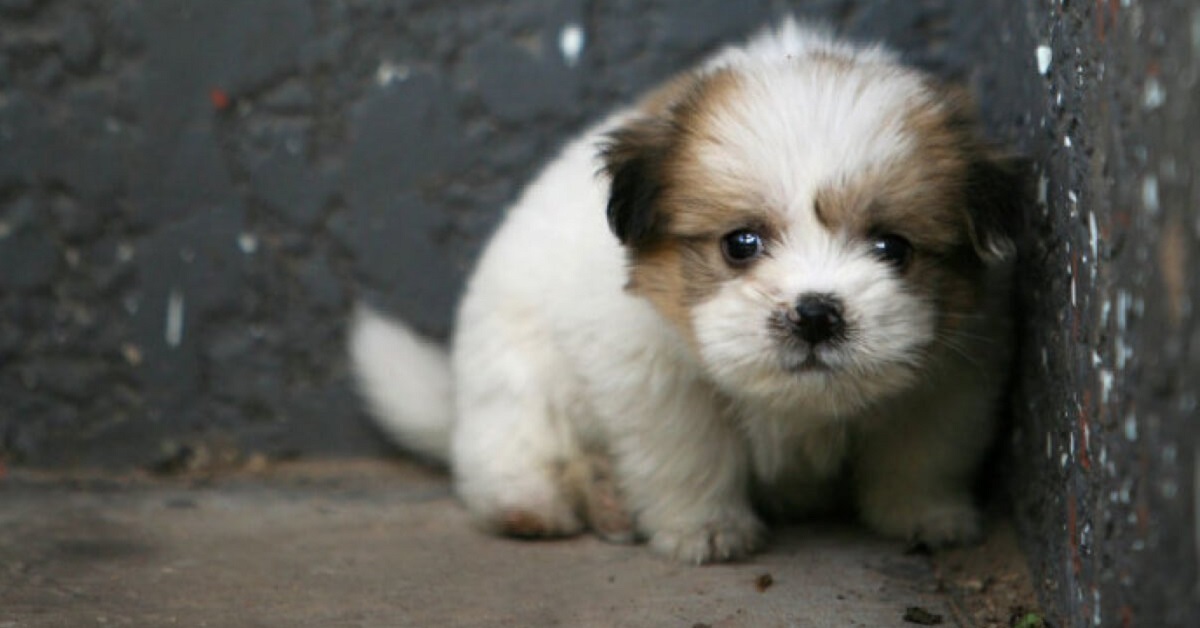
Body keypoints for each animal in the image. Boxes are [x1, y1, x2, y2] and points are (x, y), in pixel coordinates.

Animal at [350, 22, 1022, 564]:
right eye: (741, 244)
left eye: (892, 248)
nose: (815, 314)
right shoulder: (655, 379)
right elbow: (688, 454)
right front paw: (706, 529)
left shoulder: (954, 369)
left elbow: (924, 450)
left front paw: (927, 514)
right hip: (515, 369)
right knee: (510, 442)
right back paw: (538, 503)